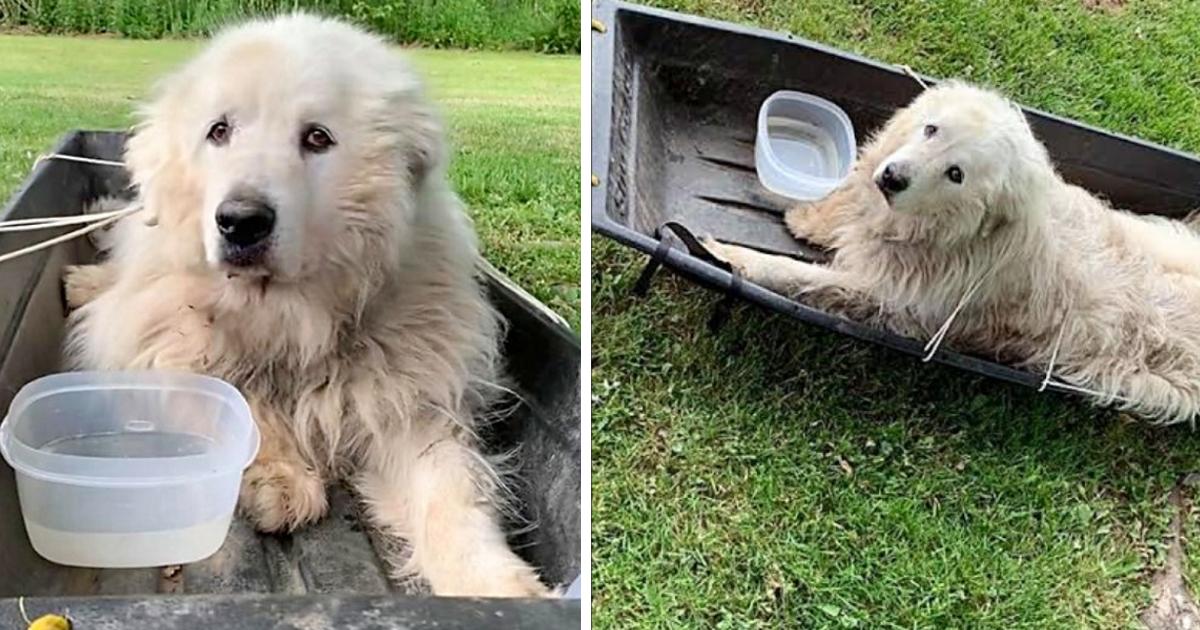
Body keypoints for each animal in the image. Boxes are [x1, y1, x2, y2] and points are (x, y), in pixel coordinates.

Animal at [64, 13, 549, 595]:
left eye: (317, 137)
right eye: (219, 131)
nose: (241, 220)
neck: (293, 316)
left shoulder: (408, 400)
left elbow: (450, 494)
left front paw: (495, 583)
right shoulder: (164, 343)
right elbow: (237, 399)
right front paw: (280, 480)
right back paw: (82, 280)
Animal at [705, 79, 1200, 422]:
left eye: (956, 173)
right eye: (931, 129)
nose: (892, 178)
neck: (952, 234)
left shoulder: (880, 294)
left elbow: (792, 273)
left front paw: (733, 255)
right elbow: (844, 209)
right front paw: (808, 218)